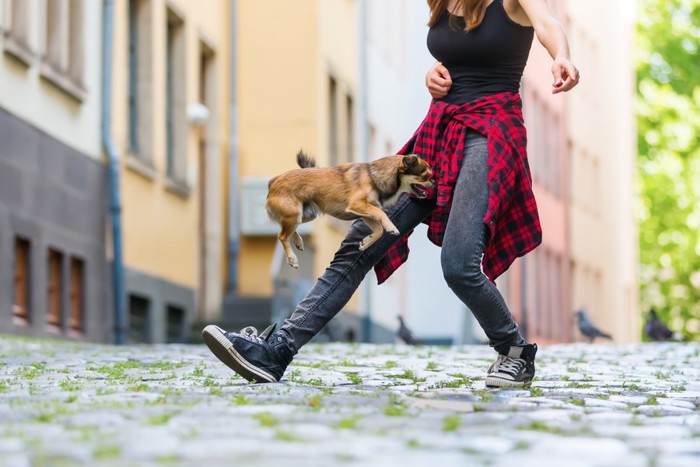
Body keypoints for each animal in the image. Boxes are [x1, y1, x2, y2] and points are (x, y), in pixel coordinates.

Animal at [266, 150, 432, 266]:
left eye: (430, 176)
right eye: (424, 177)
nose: (434, 183)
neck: (374, 176)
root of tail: (274, 182)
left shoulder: (365, 213)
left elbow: (378, 230)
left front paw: (367, 242)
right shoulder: (357, 204)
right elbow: (381, 214)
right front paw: (391, 227)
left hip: (305, 214)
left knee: (286, 229)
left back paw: (298, 241)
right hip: (294, 214)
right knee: (282, 235)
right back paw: (292, 258)